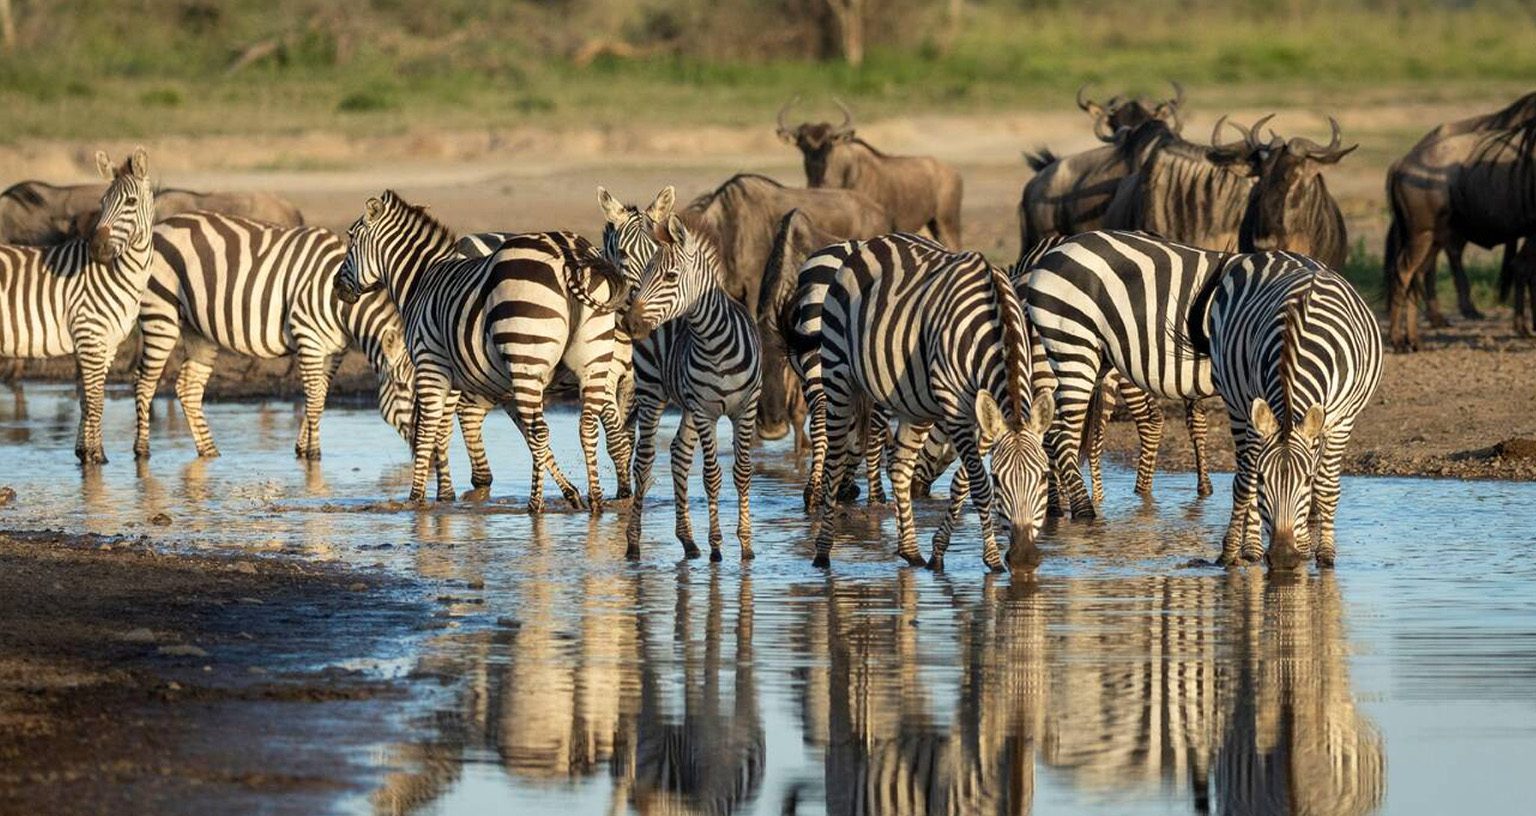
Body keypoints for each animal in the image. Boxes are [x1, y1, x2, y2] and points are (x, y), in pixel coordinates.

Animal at [0, 148, 154, 463]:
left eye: (131, 202)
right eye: (102, 203)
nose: (96, 249)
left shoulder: (106, 343)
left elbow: (86, 398)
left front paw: (88, 453)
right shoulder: (89, 334)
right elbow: (95, 401)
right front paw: (95, 456)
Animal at [133, 212, 416, 461]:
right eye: (403, 387)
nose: (424, 441)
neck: (341, 304)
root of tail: (160, 226)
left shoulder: (335, 350)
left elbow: (320, 396)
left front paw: (302, 449)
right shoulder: (308, 338)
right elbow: (314, 399)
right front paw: (314, 455)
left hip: (198, 331)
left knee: (187, 388)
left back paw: (209, 452)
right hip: (160, 314)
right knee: (144, 382)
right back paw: (142, 451)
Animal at [334, 191, 631, 508]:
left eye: (351, 239)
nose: (337, 286)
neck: (420, 281)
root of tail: (567, 250)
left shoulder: (430, 366)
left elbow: (428, 431)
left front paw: (417, 500)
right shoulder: (474, 381)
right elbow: (457, 431)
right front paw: (571, 492)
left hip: (528, 356)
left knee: (545, 431)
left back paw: (539, 504)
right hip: (592, 363)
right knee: (588, 427)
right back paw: (597, 502)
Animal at [816, 247, 1056, 572]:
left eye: (1044, 476)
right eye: (998, 479)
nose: (1024, 558)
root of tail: (869, 244)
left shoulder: (983, 421)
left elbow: (962, 482)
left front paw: (938, 553)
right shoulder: (955, 409)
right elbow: (979, 485)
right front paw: (993, 561)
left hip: (913, 403)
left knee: (900, 467)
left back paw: (911, 552)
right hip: (837, 375)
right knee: (835, 463)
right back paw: (822, 553)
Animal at [1204, 253, 1382, 568]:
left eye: (1306, 480)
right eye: (1264, 479)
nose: (1283, 557)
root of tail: (1276, 253)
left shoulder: (1342, 421)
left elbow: (1326, 488)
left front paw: (1323, 554)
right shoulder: (1255, 414)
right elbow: (1246, 484)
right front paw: (1234, 551)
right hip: (1234, 404)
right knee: (1242, 475)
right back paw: (1252, 547)